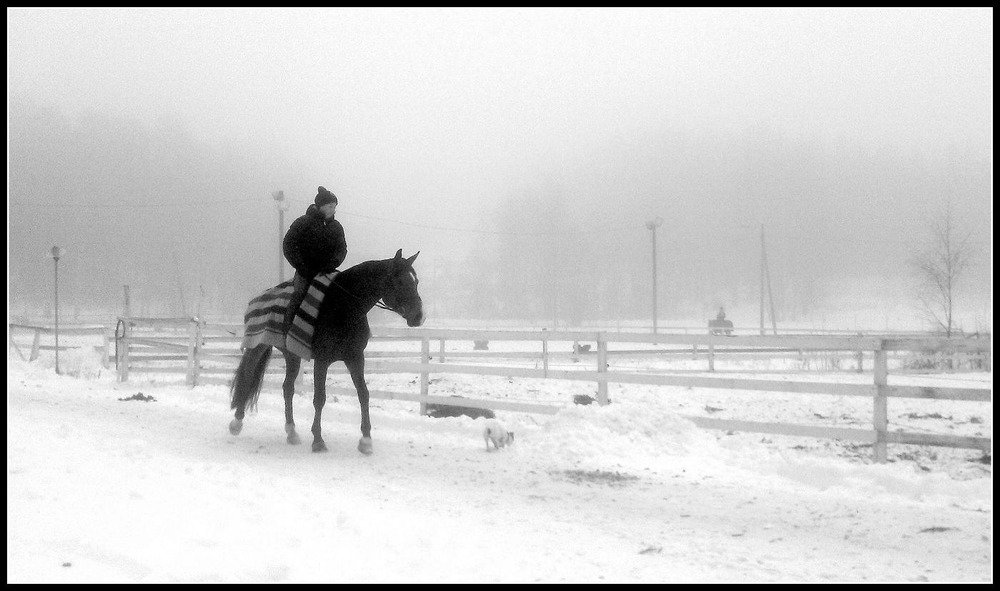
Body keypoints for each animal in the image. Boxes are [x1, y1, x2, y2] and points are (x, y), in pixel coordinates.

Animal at [229, 249, 424, 454]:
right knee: (248, 377)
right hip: (257, 346)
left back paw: (291, 432)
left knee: (287, 388)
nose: (419, 316)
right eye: (400, 281)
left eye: (416, 281)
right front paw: (318, 440)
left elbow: (364, 394)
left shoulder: (355, 358)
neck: (343, 307)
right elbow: (319, 398)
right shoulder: (322, 360)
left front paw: (365, 441)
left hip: (292, 356)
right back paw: (236, 422)